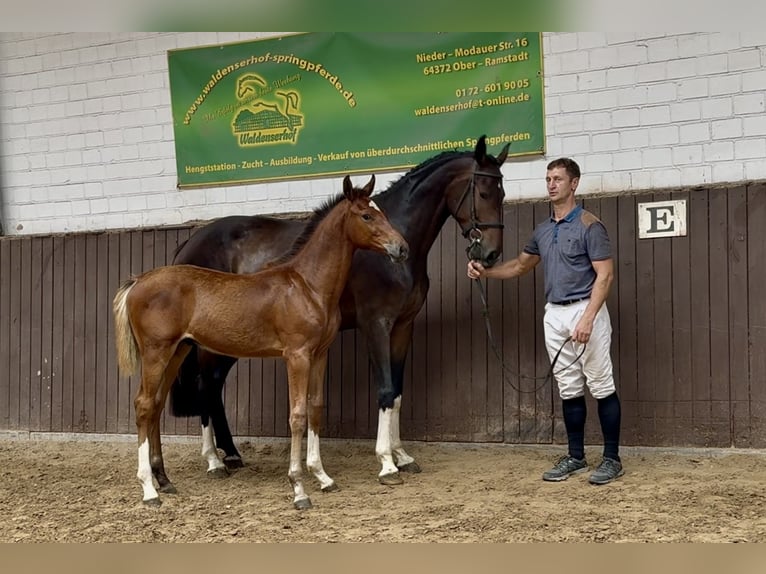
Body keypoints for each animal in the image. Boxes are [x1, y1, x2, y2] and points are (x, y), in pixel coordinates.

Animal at [112, 175, 408, 509]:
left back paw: (164, 479)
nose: (401, 248)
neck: (307, 286)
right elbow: (297, 416)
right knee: (143, 405)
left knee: (157, 404)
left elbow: (316, 408)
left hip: (178, 351)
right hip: (156, 352)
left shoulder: (319, 354)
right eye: (367, 215)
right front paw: (298, 489)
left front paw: (323, 477)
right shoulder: (297, 355)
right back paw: (149, 488)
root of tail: (138, 282)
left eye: (381, 212)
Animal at [171, 135, 510, 485]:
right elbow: (385, 389)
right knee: (207, 386)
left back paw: (232, 454)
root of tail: (188, 244)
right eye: (483, 192)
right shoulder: (377, 324)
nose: (490, 254)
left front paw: (402, 456)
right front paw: (386, 463)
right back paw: (214, 461)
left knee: (214, 387)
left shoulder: (403, 326)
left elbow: (398, 393)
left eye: (502, 193)